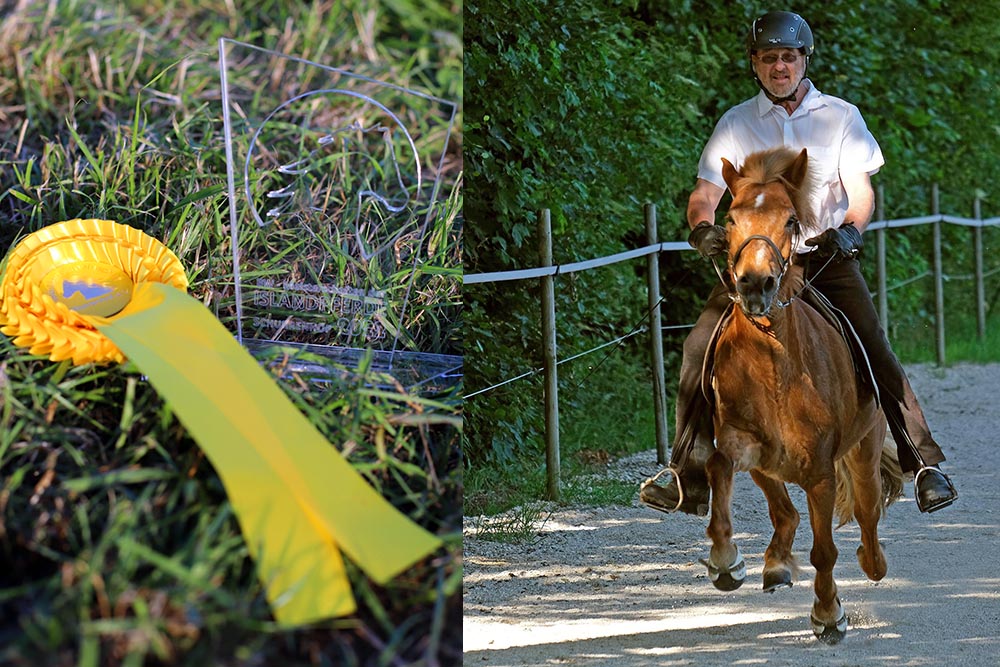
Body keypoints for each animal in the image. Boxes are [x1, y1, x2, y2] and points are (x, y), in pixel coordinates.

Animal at [704, 147, 908, 648]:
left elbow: (825, 551)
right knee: (786, 513)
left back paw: (872, 562)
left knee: (868, 513)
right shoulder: (743, 444)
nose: (755, 284)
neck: (774, 361)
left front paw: (829, 616)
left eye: (792, 220)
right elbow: (719, 466)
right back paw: (774, 565)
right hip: (770, 466)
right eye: (730, 217)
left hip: (863, 451)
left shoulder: (820, 471)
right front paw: (725, 560)